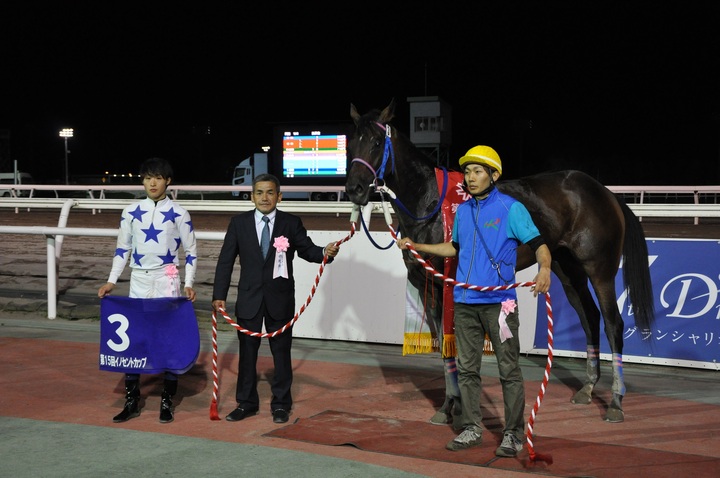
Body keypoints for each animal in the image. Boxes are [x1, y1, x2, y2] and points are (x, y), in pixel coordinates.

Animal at [344, 99, 655, 423]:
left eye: (376, 142)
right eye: (351, 143)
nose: (354, 189)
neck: (429, 204)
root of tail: (605, 193)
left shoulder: (448, 283)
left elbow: (453, 342)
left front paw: (456, 404)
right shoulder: (425, 285)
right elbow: (445, 345)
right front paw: (449, 404)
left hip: (600, 269)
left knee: (613, 324)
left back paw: (616, 401)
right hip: (567, 270)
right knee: (590, 318)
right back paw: (588, 388)